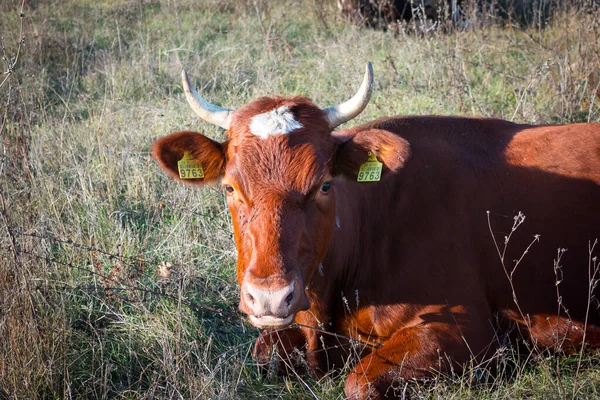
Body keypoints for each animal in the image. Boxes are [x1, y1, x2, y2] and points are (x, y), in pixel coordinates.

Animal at [154, 64, 600, 398]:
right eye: (230, 188)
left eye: (324, 185)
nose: (269, 297)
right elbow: (265, 353)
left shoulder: (471, 330)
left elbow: (360, 382)